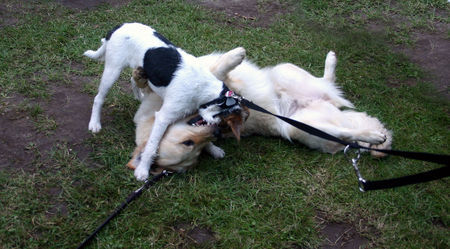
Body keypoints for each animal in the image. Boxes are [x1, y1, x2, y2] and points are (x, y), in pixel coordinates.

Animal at [84, 22, 246, 180]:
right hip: (113, 70)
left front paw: (214, 148)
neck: (204, 88)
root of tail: (119, 26)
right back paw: (95, 123)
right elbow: (151, 146)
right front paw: (143, 169)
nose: (217, 131)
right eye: (225, 122)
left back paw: (139, 96)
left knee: (132, 78)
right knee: (99, 98)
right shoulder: (163, 118)